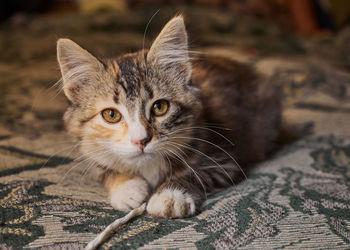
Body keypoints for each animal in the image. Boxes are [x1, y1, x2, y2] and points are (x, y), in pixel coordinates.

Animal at [56, 16, 282, 219]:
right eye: (111, 115)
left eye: (159, 107)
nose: (141, 141)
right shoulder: (92, 155)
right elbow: (106, 170)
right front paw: (127, 188)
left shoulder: (225, 160)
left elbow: (192, 173)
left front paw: (170, 196)